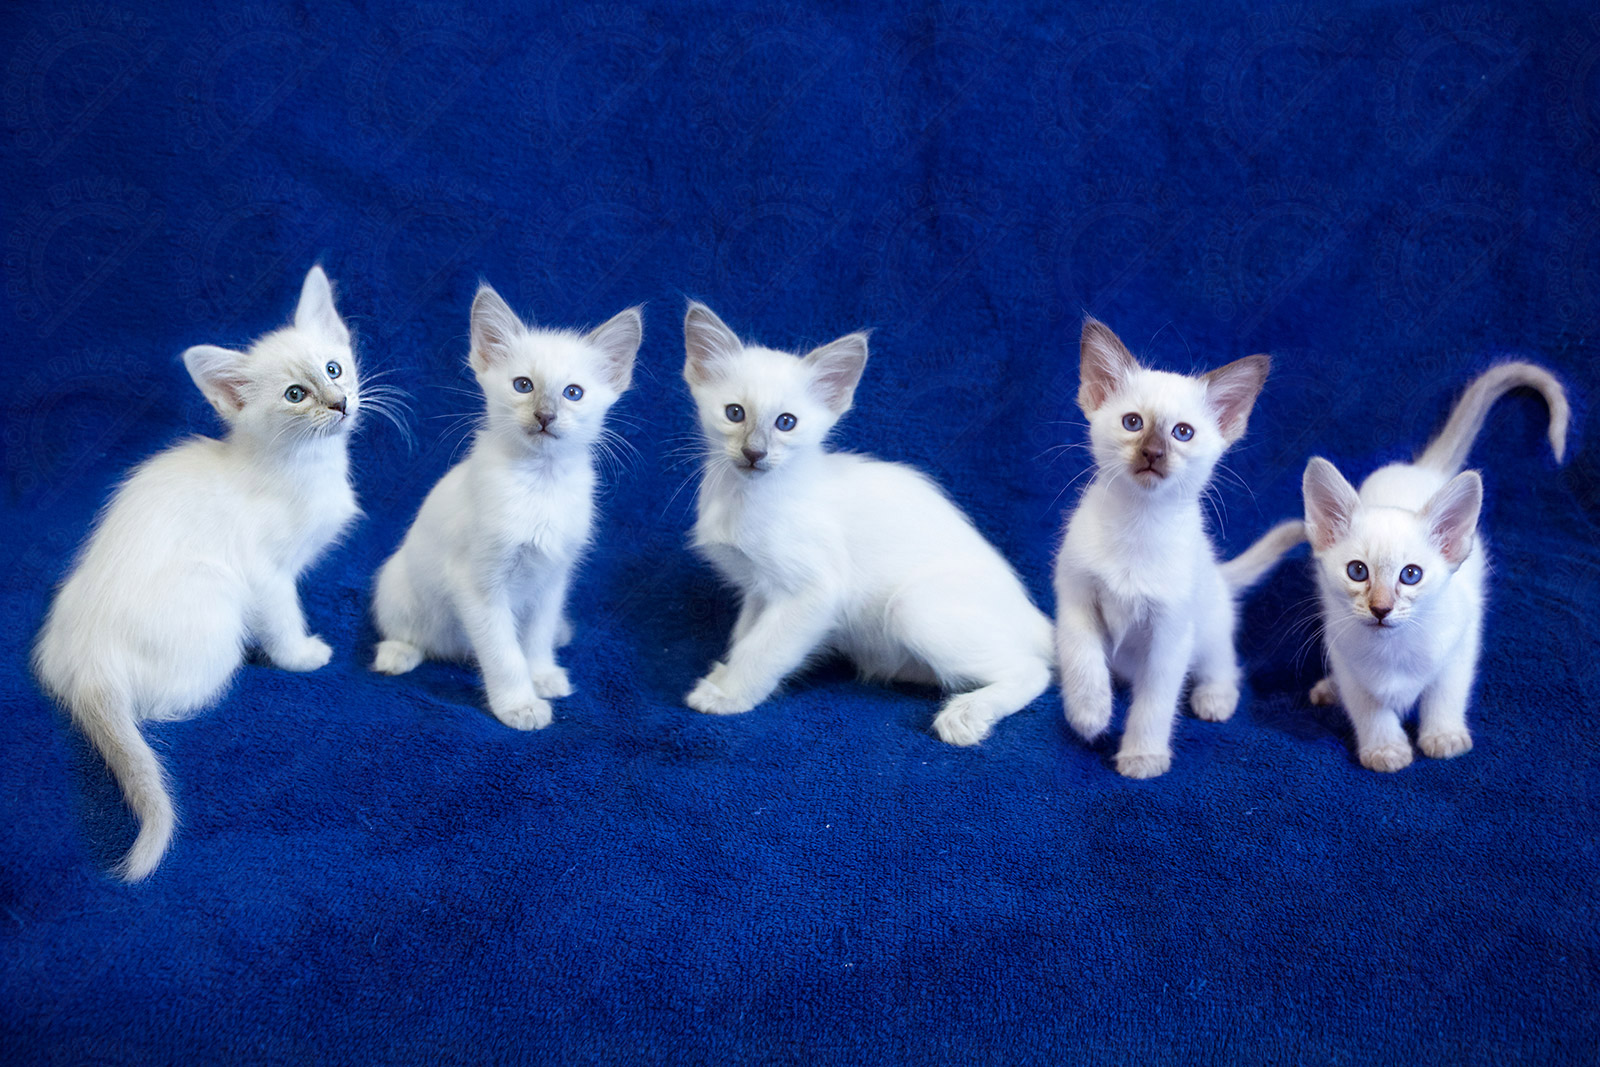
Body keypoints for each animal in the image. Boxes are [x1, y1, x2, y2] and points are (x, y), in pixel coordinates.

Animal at [32, 265, 362, 881]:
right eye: (296, 395)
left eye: (333, 368)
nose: (340, 404)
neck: (300, 465)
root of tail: (87, 665)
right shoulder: (265, 574)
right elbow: (283, 619)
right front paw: (301, 655)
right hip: (216, 595)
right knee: (159, 706)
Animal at [370, 284, 641, 731]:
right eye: (523, 385)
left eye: (573, 393)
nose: (545, 415)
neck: (541, 484)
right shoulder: (479, 586)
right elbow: (504, 654)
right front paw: (520, 705)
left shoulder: (551, 581)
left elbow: (535, 638)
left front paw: (542, 675)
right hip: (398, 585)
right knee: (407, 631)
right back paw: (398, 654)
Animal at [680, 301, 1054, 745]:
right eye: (734, 414)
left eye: (786, 422)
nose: (755, 453)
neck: (746, 497)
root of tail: (1035, 617)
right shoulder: (759, 590)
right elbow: (744, 637)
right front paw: (725, 675)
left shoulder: (813, 592)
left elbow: (763, 649)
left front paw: (728, 695)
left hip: (914, 607)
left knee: (1034, 671)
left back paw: (965, 714)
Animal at [1053, 316, 1298, 779]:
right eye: (1133, 423)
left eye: (1182, 433)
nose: (1153, 452)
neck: (1139, 523)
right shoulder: (1076, 599)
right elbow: (1083, 657)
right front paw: (1089, 713)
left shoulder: (1169, 634)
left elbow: (1155, 701)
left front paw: (1142, 757)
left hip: (1209, 627)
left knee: (1224, 663)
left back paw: (1215, 699)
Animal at [1300, 362, 1569, 771]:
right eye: (1357, 571)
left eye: (1410, 575)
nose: (1381, 609)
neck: (1392, 651)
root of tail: (1420, 469)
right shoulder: (1344, 653)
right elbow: (1368, 706)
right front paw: (1385, 748)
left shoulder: (1460, 644)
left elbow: (1446, 693)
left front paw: (1443, 737)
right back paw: (1328, 689)